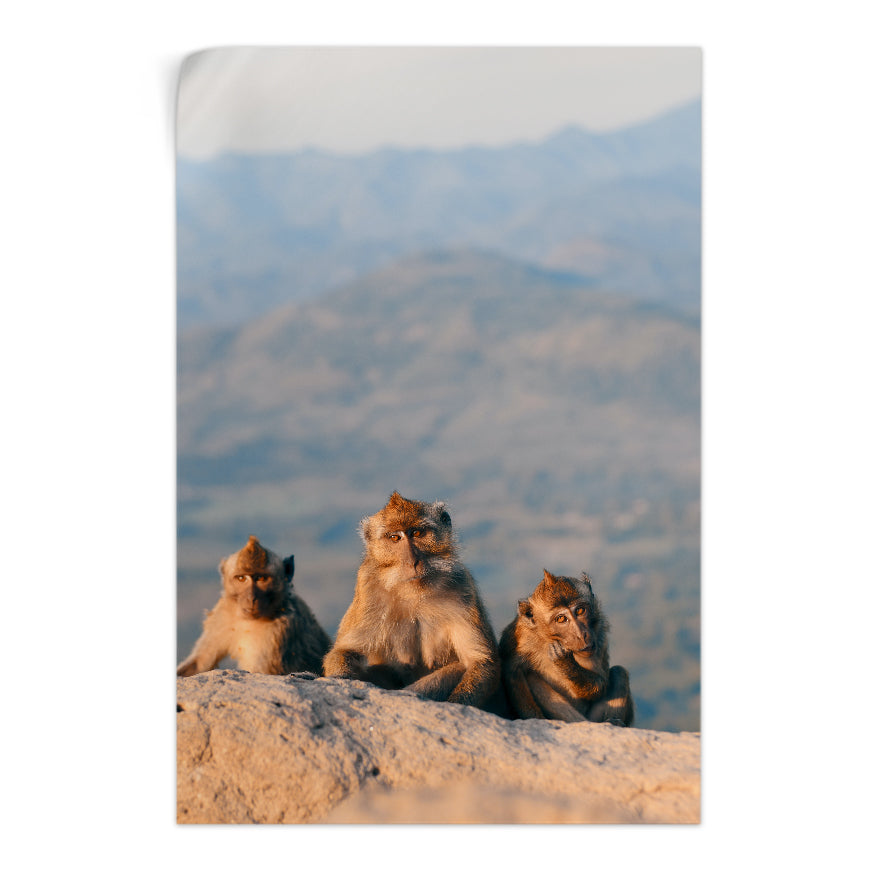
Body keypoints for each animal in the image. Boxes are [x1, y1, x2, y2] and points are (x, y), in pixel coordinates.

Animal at [177, 535, 331, 677]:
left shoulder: (279, 630)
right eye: (241, 578)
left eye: (262, 578)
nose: (251, 598)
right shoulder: (223, 613)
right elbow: (200, 662)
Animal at [322, 491, 501, 709]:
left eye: (416, 533)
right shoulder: (368, 588)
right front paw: (341, 679)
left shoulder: (462, 585)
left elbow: (480, 661)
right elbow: (345, 650)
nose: (412, 561)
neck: (415, 594)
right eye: (394, 537)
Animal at [499, 569, 634, 726]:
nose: (581, 634)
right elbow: (512, 671)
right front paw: (534, 719)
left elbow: (601, 684)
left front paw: (564, 662)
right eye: (561, 619)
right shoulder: (520, 637)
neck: (548, 639)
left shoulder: (599, 633)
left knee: (619, 673)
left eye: (580, 610)